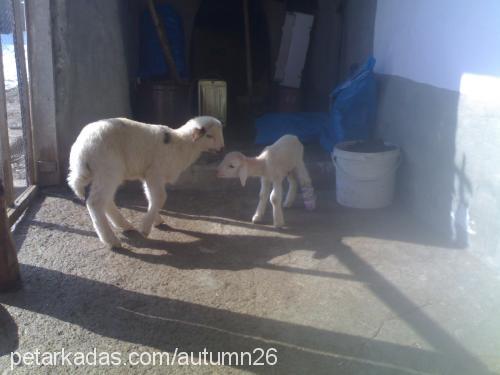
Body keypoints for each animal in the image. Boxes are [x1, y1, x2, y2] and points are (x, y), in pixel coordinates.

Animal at [67, 116, 224, 248]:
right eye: (209, 135)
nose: (222, 148)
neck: (182, 144)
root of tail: (81, 150)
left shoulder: (148, 175)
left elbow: (151, 197)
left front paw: (156, 220)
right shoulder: (155, 173)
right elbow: (160, 198)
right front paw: (146, 228)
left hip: (104, 174)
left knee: (106, 201)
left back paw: (124, 225)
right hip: (107, 169)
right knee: (95, 202)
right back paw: (111, 240)